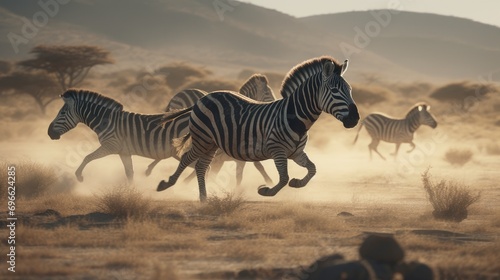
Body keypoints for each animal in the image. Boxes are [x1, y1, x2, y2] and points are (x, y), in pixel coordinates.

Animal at [47, 89, 190, 182]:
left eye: (62, 113)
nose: (49, 133)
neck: (107, 121)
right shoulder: (124, 152)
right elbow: (129, 173)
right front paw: (131, 194)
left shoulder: (110, 146)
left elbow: (88, 157)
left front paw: (79, 176)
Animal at [158, 57, 358, 201]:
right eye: (334, 90)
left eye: (349, 89)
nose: (355, 118)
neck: (296, 118)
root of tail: (204, 97)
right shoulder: (277, 150)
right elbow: (283, 178)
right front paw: (266, 190)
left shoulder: (296, 153)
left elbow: (313, 169)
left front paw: (297, 183)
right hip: (203, 139)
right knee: (187, 158)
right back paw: (167, 184)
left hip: (212, 144)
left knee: (201, 166)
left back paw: (203, 198)